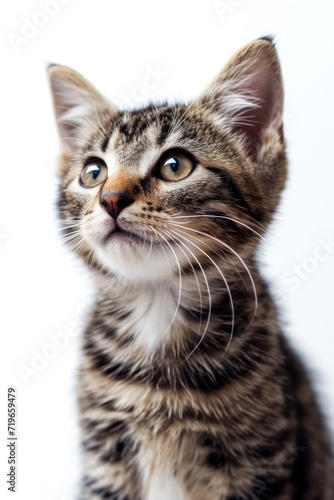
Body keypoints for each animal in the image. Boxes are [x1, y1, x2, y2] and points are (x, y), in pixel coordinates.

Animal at [49, 37, 334, 498]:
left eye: (174, 165)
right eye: (93, 172)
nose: (110, 199)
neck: (157, 307)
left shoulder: (258, 465)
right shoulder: (106, 464)